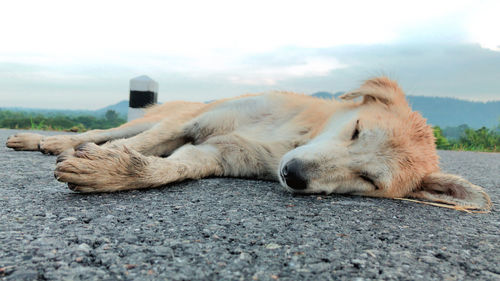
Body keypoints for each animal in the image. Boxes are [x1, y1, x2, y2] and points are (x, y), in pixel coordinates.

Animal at [6, 76, 492, 210]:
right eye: (355, 130)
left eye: (370, 180)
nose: (293, 176)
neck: (289, 138)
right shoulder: (196, 123)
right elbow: (139, 146)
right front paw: (101, 161)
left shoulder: (212, 154)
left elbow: (164, 168)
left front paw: (111, 172)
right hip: (167, 115)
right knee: (104, 133)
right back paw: (42, 141)